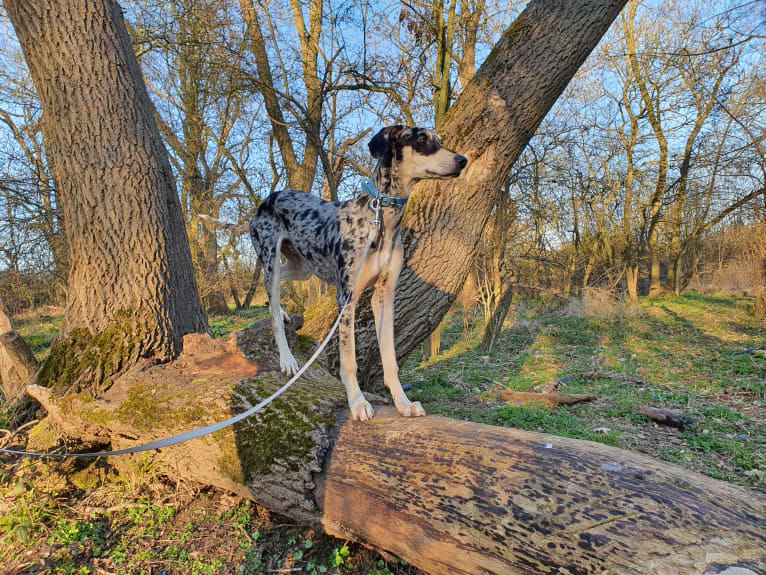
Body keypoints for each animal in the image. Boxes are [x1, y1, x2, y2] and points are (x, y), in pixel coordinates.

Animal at [204, 126, 468, 420]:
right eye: (422, 140)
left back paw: (282, 311)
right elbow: (349, 361)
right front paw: (358, 403)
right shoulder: (347, 300)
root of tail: (263, 202)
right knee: (272, 309)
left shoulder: (384, 296)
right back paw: (287, 357)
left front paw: (403, 403)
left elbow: (390, 359)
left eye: (440, 141)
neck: (381, 219)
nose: (463, 160)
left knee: (277, 287)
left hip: (302, 268)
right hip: (271, 258)